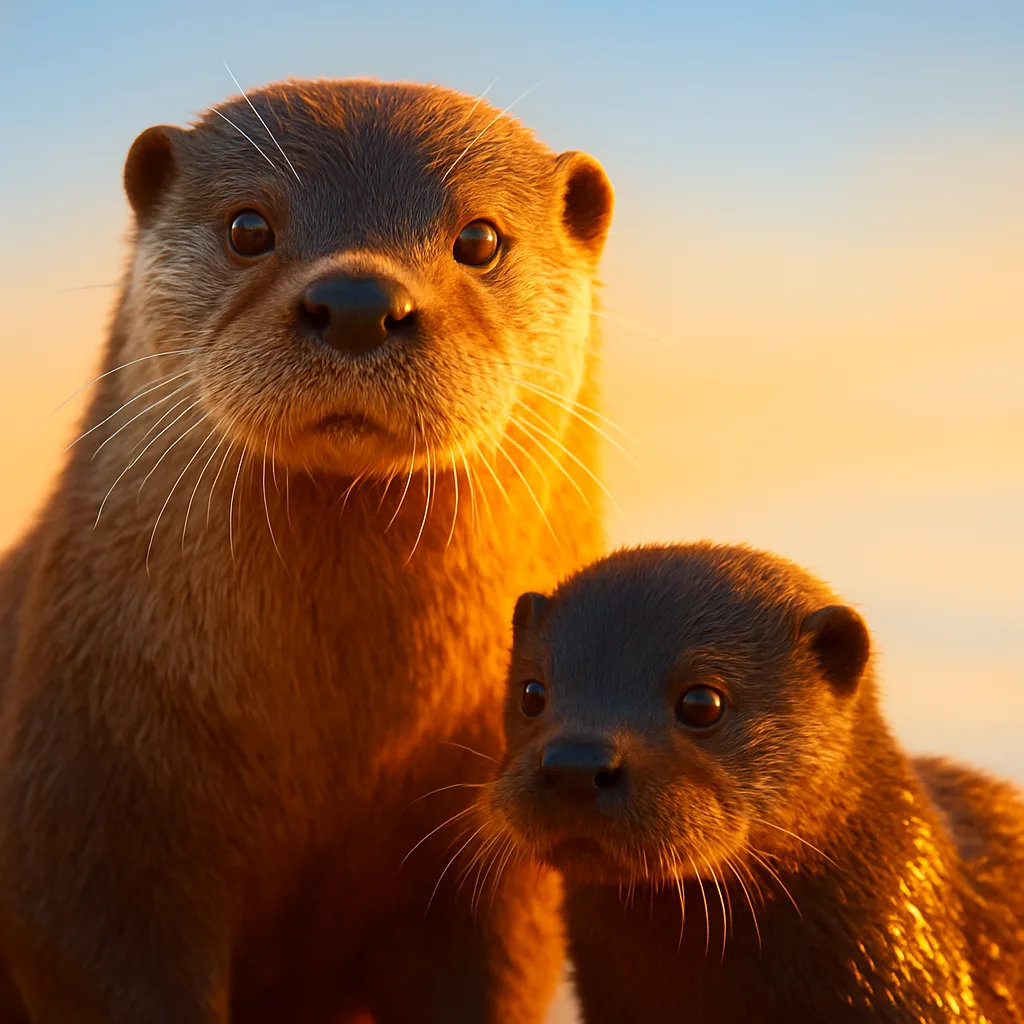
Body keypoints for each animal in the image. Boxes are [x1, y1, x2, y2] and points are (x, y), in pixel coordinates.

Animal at [0, 79, 614, 1023]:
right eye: (249, 226)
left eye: (479, 238)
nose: (358, 300)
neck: (339, 746)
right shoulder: (86, 825)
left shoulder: (506, 885)